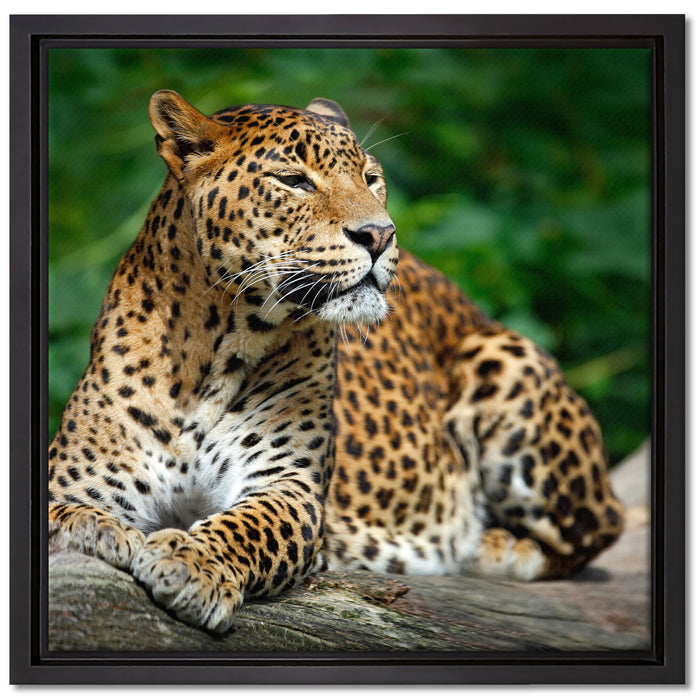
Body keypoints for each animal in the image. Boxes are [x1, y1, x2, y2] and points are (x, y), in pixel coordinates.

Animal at [49, 90, 625, 634]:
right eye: (293, 181)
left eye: (371, 178)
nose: (380, 234)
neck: (214, 349)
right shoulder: (77, 476)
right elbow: (64, 509)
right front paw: (93, 528)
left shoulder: (288, 486)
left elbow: (246, 527)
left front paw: (191, 563)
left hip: (506, 360)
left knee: (601, 527)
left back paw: (490, 545)